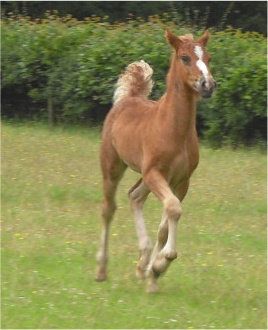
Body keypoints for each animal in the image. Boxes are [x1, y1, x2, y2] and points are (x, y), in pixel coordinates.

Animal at [96, 29, 216, 292]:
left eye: (208, 57)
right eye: (184, 58)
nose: (208, 84)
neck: (173, 129)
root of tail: (128, 98)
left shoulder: (181, 180)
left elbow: (165, 224)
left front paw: (153, 272)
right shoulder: (155, 173)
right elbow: (173, 208)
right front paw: (162, 262)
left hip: (146, 177)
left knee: (134, 196)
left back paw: (142, 264)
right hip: (113, 166)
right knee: (108, 209)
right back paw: (101, 270)